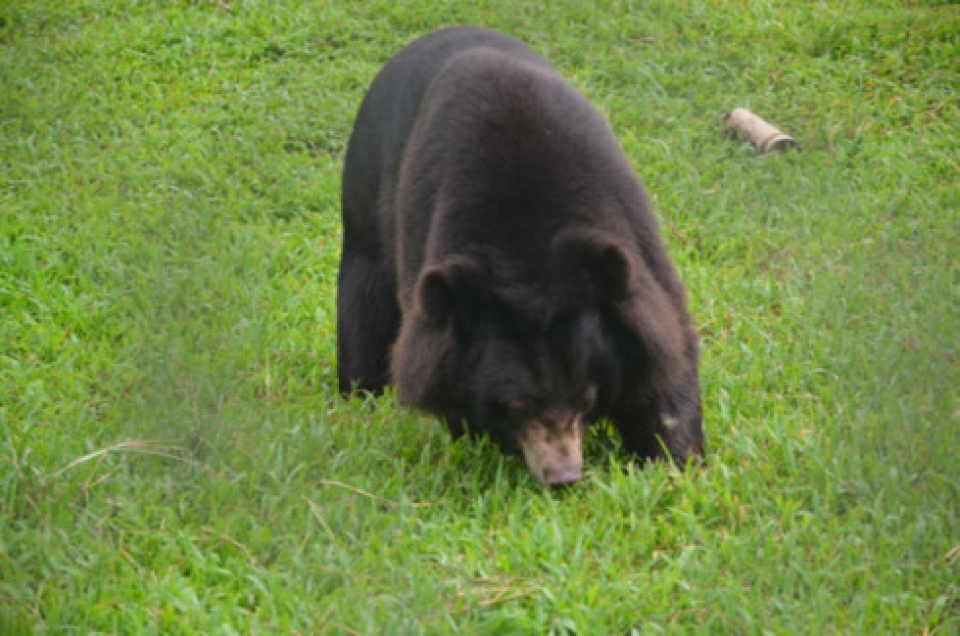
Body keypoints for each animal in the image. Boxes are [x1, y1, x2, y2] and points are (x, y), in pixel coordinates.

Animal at [337, 26, 703, 486]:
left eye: (587, 399)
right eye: (517, 407)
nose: (563, 477)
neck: (526, 258)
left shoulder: (630, 230)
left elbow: (666, 349)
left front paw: (676, 463)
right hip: (364, 194)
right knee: (364, 300)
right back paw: (359, 397)